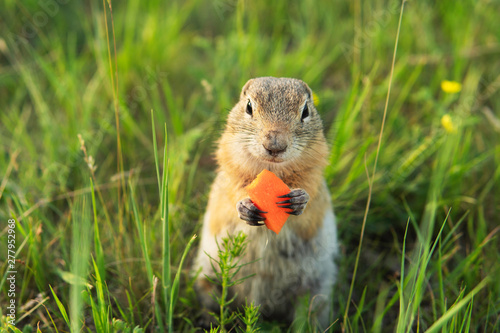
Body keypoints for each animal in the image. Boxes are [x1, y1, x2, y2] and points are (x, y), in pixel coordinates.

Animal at [193, 76, 338, 326]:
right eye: (249, 106)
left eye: (305, 111)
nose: (275, 145)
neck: (272, 171)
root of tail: (258, 304)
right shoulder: (230, 174)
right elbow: (233, 194)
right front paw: (244, 207)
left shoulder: (315, 179)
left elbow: (310, 200)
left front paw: (299, 200)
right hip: (207, 277)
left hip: (315, 292)